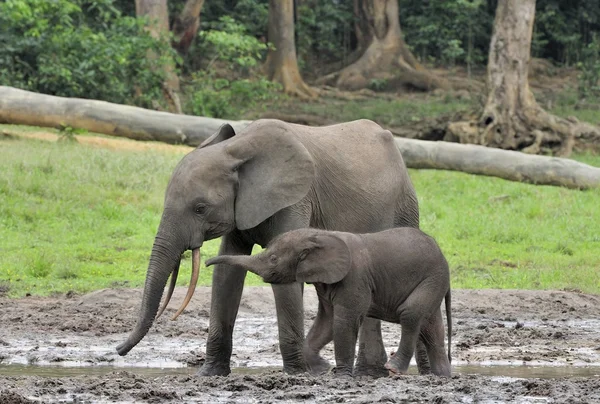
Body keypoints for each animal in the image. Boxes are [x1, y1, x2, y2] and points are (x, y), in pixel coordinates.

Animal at [115, 118, 420, 378]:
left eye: (200, 208)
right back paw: (357, 370)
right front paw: (209, 374)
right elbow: (227, 274)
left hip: (405, 207)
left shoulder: (295, 201)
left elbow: (285, 274)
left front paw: (297, 373)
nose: (118, 350)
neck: (236, 151)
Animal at [205, 227, 450, 378]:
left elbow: (343, 321)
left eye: (273, 259)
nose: (207, 262)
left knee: (409, 313)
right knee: (430, 327)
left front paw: (340, 376)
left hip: (433, 277)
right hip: (433, 280)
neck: (319, 235)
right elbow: (327, 322)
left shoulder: (354, 277)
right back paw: (442, 376)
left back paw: (395, 368)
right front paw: (321, 369)